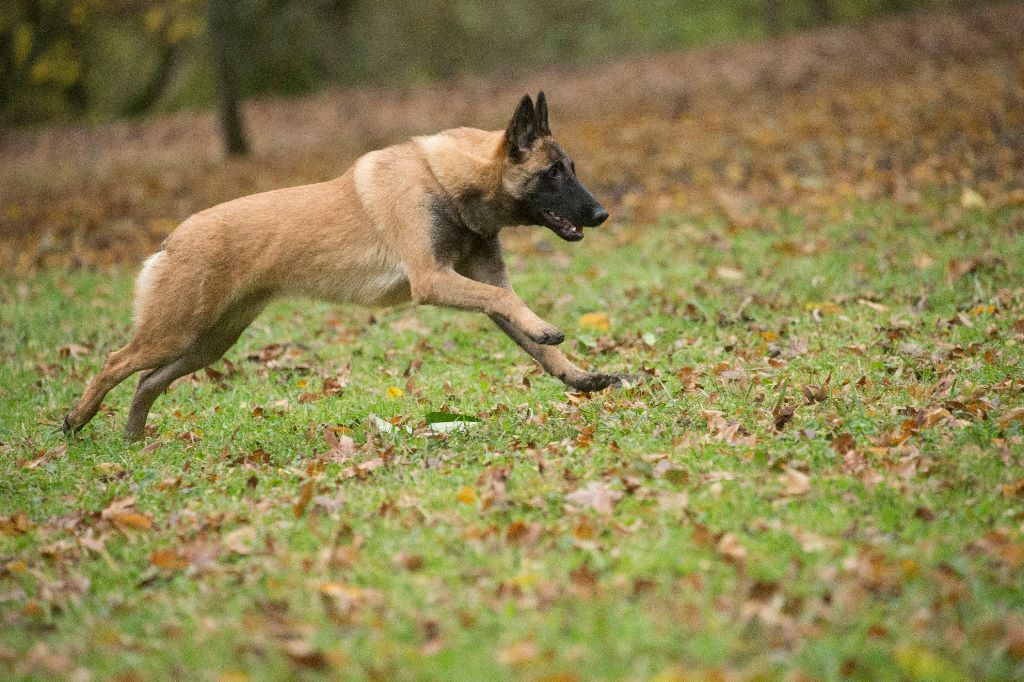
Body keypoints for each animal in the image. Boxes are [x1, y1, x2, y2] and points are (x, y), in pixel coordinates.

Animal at [62, 92, 631, 441]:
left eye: (571, 169)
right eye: (553, 173)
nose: (602, 213)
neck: (446, 179)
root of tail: (172, 238)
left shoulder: (472, 280)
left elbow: (530, 339)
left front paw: (581, 377)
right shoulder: (433, 281)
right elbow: (508, 300)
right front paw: (548, 328)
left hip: (207, 343)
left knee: (145, 382)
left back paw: (133, 439)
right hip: (175, 332)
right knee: (115, 361)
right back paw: (76, 420)